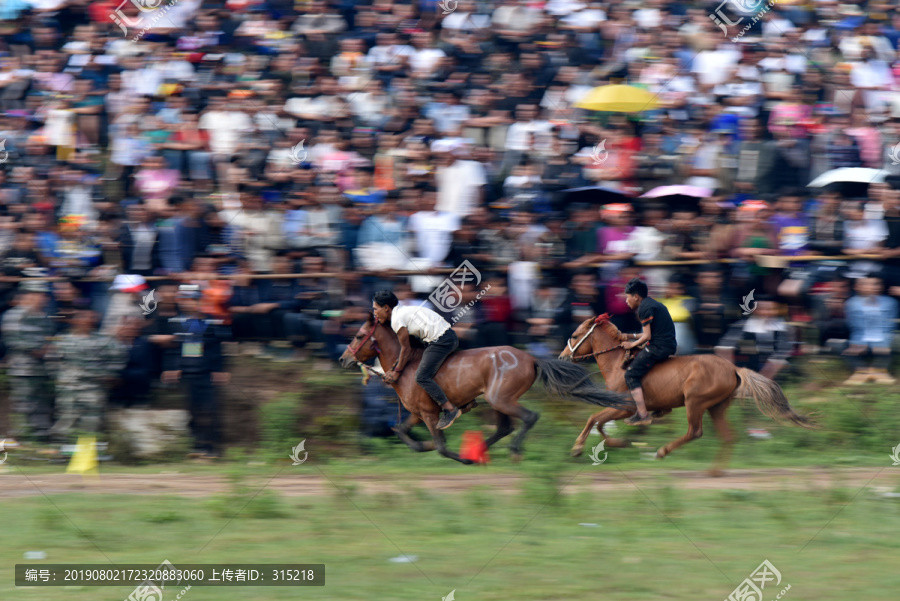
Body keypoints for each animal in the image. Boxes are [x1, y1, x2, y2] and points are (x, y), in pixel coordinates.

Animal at [338, 314, 632, 464]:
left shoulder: (431, 415)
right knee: (504, 427)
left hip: (500, 398)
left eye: (357, 335)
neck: (406, 366)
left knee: (528, 418)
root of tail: (531, 358)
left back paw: (511, 451)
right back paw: (481, 452)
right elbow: (400, 430)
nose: (343, 359)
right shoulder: (418, 413)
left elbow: (441, 446)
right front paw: (423, 446)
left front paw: (456, 455)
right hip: (496, 400)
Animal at [560, 314, 812, 474]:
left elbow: (594, 419)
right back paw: (714, 472)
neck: (617, 363)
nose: (563, 357)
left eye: (574, 336)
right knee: (728, 437)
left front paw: (578, 448)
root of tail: (733, 368)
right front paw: (617, 443)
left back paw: (662, 452)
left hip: (695, 403)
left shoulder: (625, 407)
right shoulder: (620, 408)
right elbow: (599, 423)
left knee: (695, 432)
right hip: (716, 407)